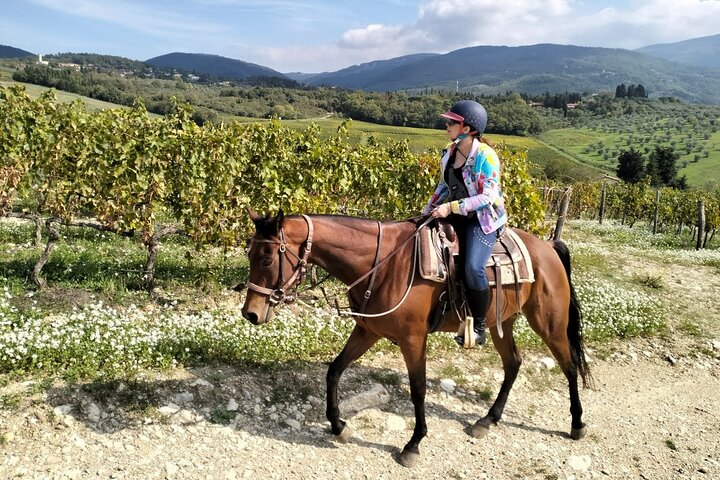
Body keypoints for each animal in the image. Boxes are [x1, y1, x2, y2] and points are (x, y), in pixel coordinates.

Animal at [240, 208, 592, 466]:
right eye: (249, 255)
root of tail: (548, 247)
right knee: (514, 363)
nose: (250, 313)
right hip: (500, 322)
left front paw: (414, 443)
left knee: (569, 365)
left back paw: (576, 424)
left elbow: (418, 389)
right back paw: (488, 419)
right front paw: (338, 426)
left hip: (549, 323)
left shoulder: (413, 338)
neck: (383, 263)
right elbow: (334, 370)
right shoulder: (368, 330)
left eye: (267, 258)